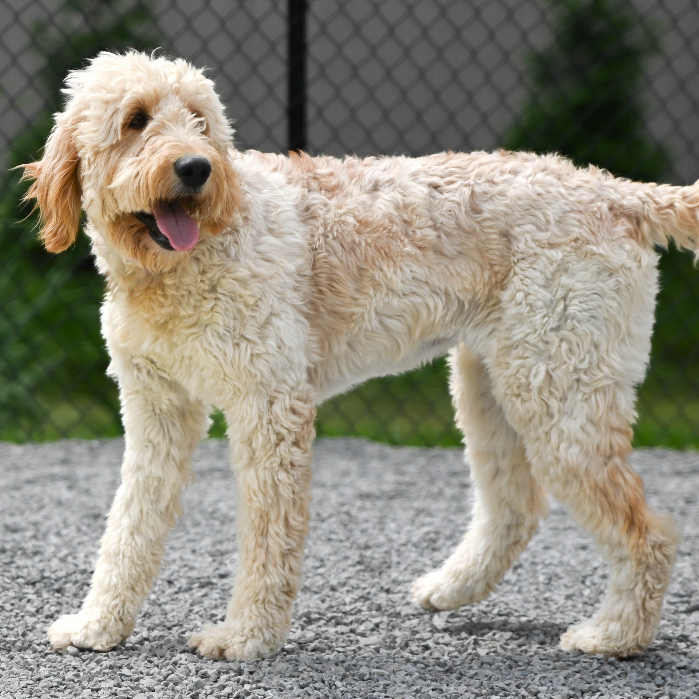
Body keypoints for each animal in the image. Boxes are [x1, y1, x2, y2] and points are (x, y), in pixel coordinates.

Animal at [19, 50, 692, 660]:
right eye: (135, 119)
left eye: (202, 122)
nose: (196, 168)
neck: (183, 266)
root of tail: (614, 192)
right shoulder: (156, 411)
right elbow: (129, 525)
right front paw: (98, 626)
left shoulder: (270, 408)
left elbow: (267, 537)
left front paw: (246, 638)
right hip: (493, 388)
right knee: (516, 506)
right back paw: (451, 588)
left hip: (559, 397)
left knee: (651, 534)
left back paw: (615, 636)